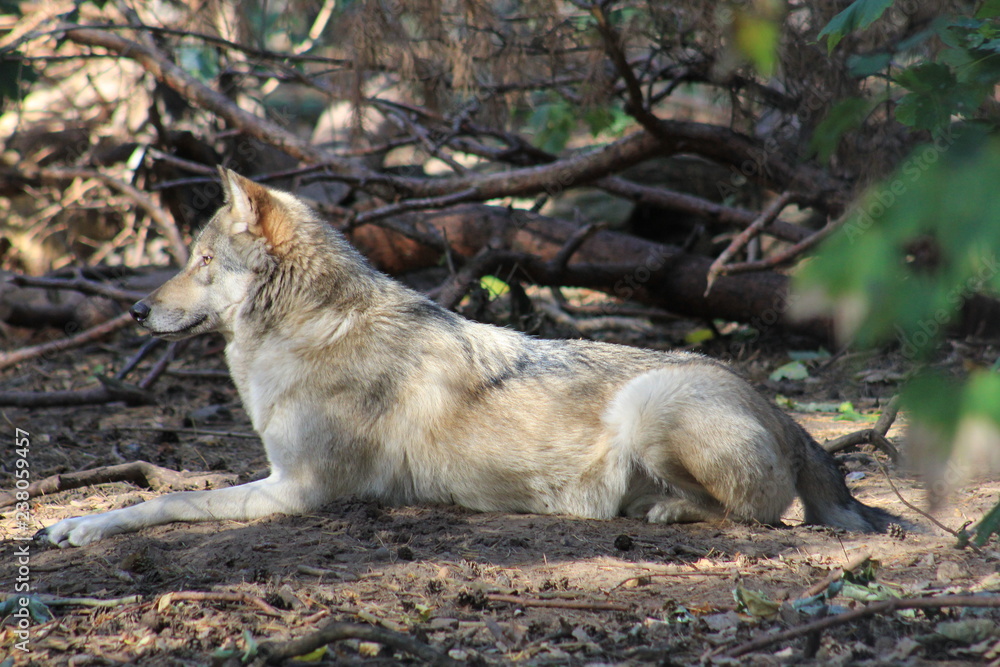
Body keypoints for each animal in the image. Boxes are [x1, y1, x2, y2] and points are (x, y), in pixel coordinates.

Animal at [40, 169, 897, 547]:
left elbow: (169, 503)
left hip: (648, 404)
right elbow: (181, 489)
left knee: (753, 516)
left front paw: (83, 524)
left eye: (204, 260)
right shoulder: (280, 476)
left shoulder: (300, 489)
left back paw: (662, 512)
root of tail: (781, 410)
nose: (135, 310)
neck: (310, 329)